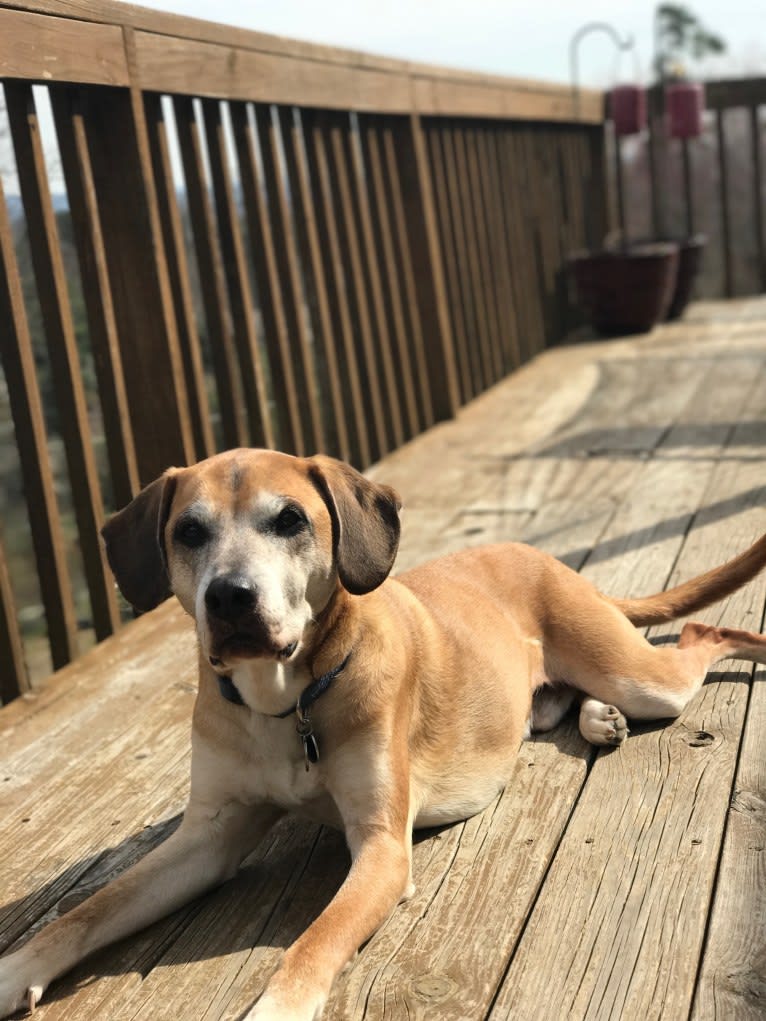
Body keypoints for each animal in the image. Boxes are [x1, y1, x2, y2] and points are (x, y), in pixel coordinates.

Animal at [1, 449, 766, 1021]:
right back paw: (594, 716)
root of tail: (549, 559)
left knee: (705, 633)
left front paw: (277, 1006)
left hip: (641, 674)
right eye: (189, 532)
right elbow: (86, 911)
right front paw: (16, 968)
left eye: (290, 519)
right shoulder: (205, 839)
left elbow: (313, 942)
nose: (230, 597)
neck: (284, 702)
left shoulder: (379, 848)